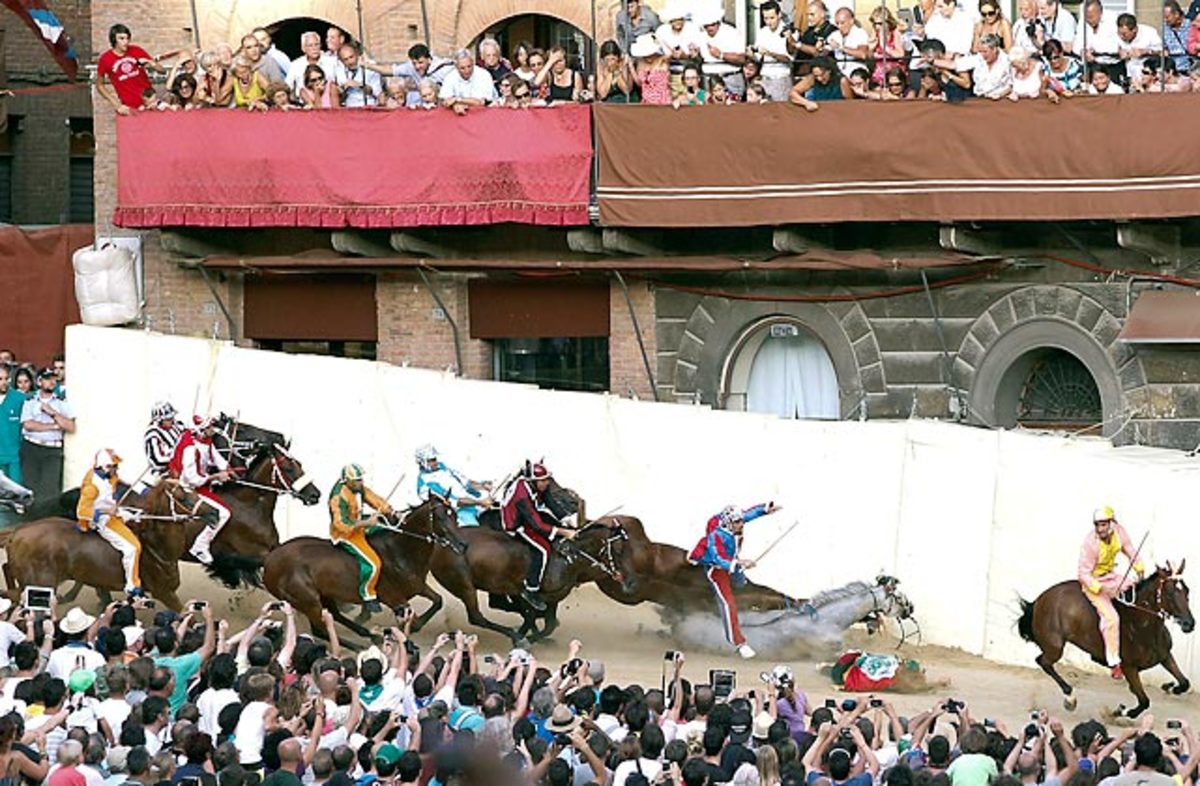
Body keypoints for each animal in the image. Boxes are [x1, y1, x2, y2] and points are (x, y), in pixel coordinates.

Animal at [0, 477, 213, 612]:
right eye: (182, 497)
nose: (214, 511)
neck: (157, 547)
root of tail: (17, 533)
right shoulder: (164, 592)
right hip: (40, 583)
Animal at [262, 499, 463, 648]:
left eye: (455, 514)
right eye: (440, 517)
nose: (461, 544)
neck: (400, 549)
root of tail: (270, 560)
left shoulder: (417, 586)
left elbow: (438, 600)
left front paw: (413, 626)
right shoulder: (393, 597)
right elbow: (412, 614)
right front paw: (412, 628)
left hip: (322, 596)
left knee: (335, 615)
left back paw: (371, 636)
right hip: (307, 599)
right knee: (320, 630)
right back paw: (359, 646)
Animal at [1017, 559, 1195, 720]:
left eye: (1187, 590)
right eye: (1170, 594)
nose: (1189, 624)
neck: (1141, 627)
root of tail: (1040, 599)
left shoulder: (1165, 656)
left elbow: (1185, 683)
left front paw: (1169, 687)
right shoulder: (1129, 667)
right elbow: (1144, 701)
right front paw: (1121, 711)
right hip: (1054, 647)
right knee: (1043, 662)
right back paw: (1070, 699)